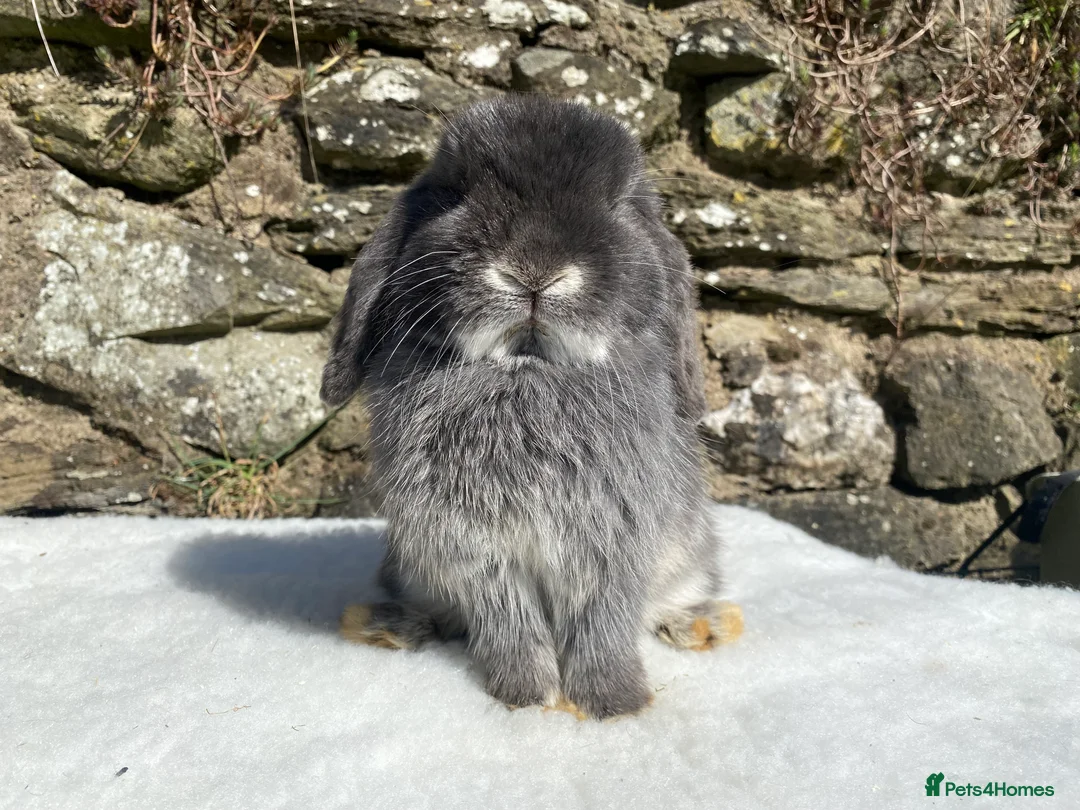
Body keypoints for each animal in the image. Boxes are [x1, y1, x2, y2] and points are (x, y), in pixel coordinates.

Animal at [323, 95, 741, 720]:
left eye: (621, 204)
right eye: (454, 194)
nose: (534, 270)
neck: (529, 369)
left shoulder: (615, 541)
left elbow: (603, 624)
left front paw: (613, 703)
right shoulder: (477, 552)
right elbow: (509, 623)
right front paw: (527, 694)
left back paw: (702, 625)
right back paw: (388, 626)